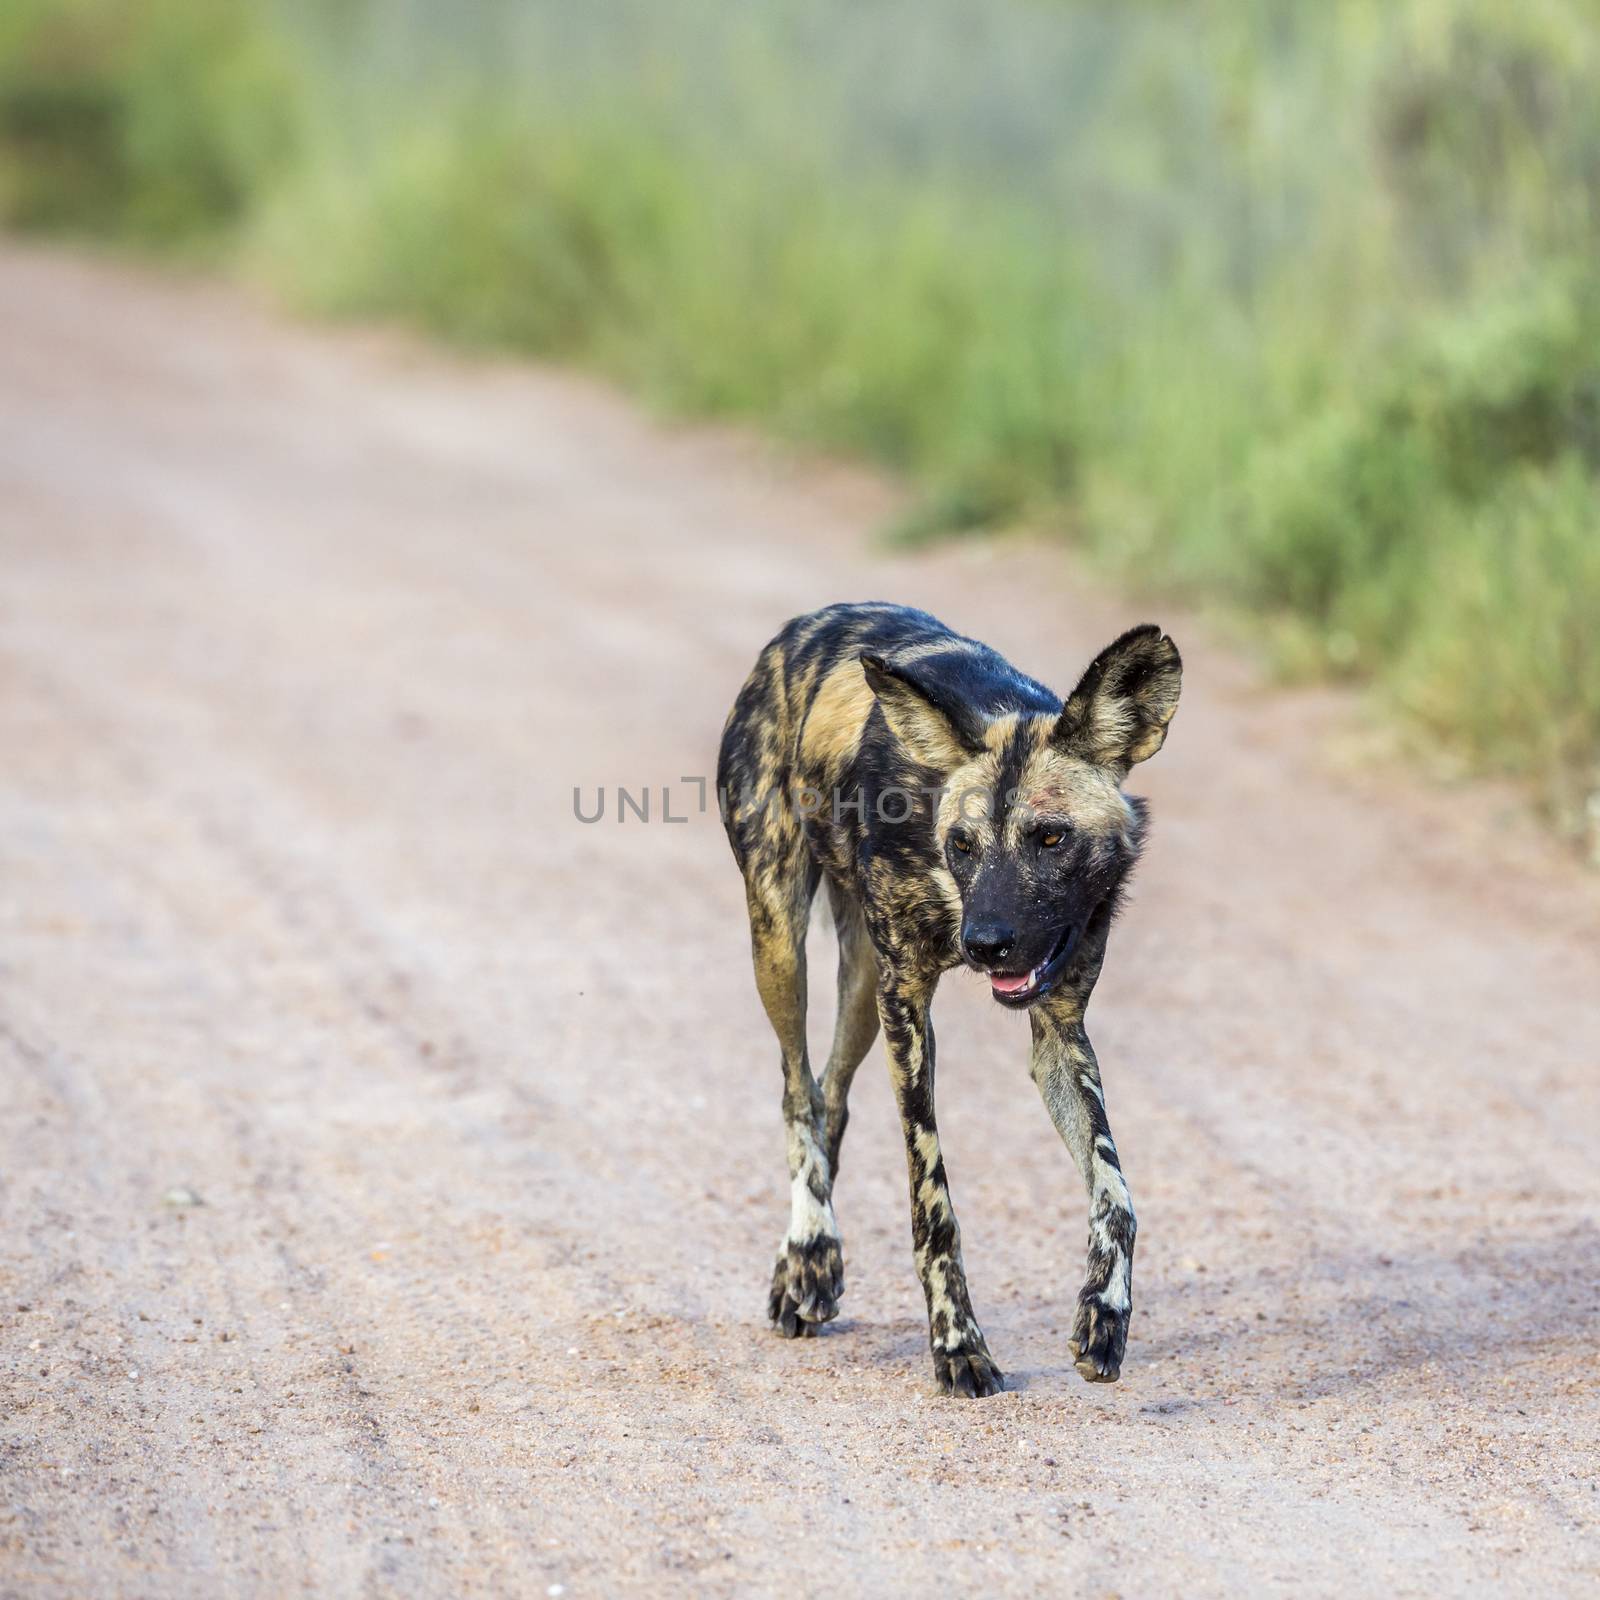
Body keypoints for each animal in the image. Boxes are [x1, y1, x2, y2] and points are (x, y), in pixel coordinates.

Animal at [720, 601, 1184, 1388]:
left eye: (1051, 838)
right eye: (962, 846)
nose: (985, 943)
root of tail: (800, 626)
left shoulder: (1057, 1031)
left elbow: (1116, 1195)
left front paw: (1106, 1315)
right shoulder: (908, 1008)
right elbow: (932, 1203)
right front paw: (957, 1344)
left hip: (859, 988)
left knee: (830, 1095)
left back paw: (802, 1268)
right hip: (782, 944)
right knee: (797, 1090)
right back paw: (812, 1247)